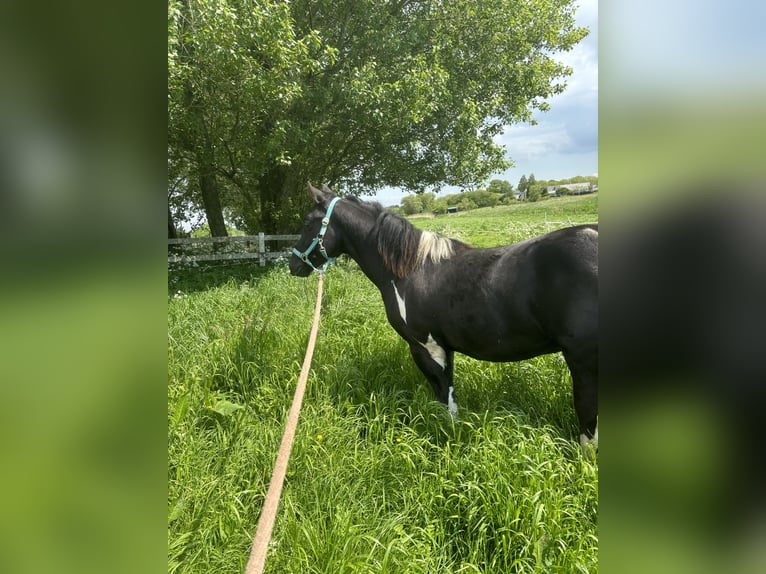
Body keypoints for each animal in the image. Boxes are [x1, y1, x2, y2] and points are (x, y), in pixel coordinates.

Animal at [290, 183, 600, 454]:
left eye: (307, 222)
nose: (293, 264)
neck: (410, 270)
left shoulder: (425, 347)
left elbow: (443, 394)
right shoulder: (444, 346)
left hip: (583, 360)